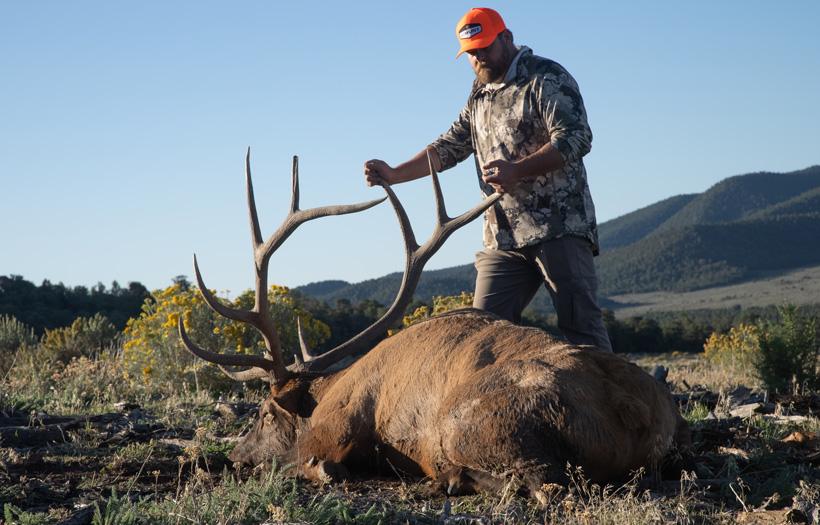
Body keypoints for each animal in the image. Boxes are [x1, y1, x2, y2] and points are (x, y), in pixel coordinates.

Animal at [178, 150, 690, 498]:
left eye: (266, 413)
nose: (235, 457)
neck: (331, 388)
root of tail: (635, 412)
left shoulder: (339, 426)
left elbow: (317, 464)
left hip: (472, 422)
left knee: (543, 484)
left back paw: (451, 478)